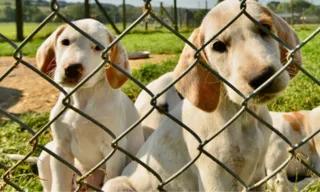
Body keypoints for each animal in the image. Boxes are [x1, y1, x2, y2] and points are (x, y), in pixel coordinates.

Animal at [35, 18, 144, 191]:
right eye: (65, 42)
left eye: (98, 48)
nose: (72, 69)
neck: (83, 99)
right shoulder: (60, 149)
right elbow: (59, 185)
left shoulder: (113, 149)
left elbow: (110, 177)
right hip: (47, 153)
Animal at [104, 0, 302, 190]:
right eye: (218, 46)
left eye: (266, 27)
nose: (262, 77)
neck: (244, 117)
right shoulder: (217, 180)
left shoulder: (257, 176)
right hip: (115, 185)